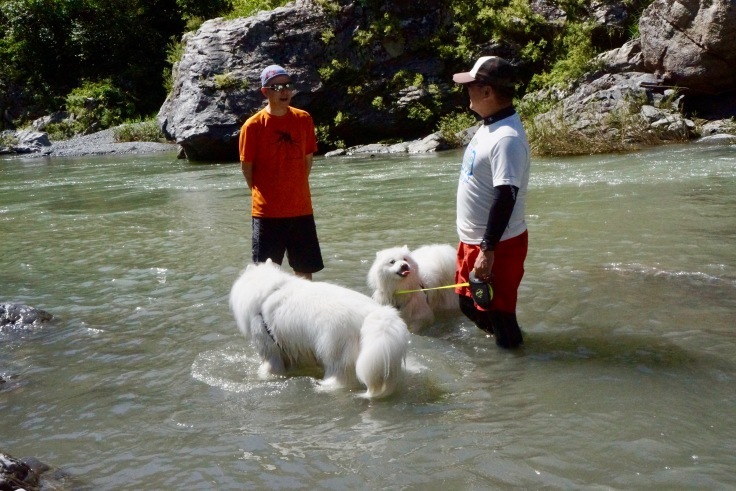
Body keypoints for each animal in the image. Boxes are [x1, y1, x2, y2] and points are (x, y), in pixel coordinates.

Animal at [229, 262, 408, 400]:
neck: (270, 289)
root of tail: (373, 314)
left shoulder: (269, 349)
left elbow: (269, 370)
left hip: (334, 352)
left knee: (340, 380)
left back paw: (323, 386)